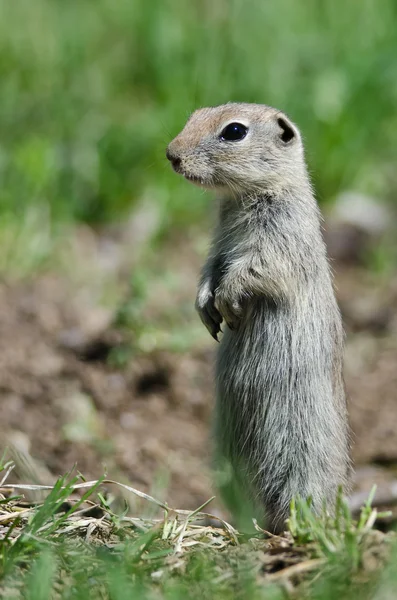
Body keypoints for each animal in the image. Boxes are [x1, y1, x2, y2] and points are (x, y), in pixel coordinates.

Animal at [166, 103, 352, 528]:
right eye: (194, 114)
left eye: (234, 131)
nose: (171, 154)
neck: (242, 196)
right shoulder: (218, 243)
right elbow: (209, 268)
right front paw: (206, 308)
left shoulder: (281, 236)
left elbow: (255, 268)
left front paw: (227, 302)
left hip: (301, 449)